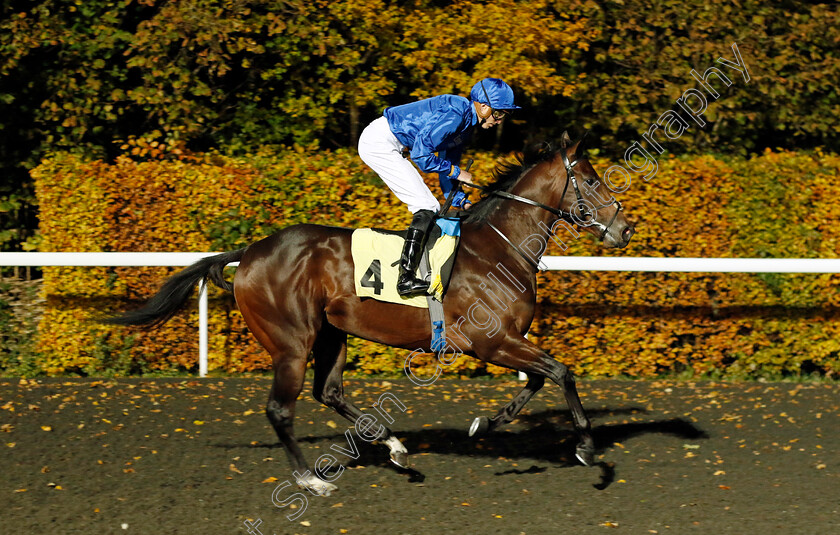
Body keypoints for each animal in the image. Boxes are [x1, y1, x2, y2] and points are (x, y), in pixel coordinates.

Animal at [110, 132, 636, 496]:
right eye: (591, 179)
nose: (625, 228)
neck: (498, 249)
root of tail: (251, 251)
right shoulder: (489, 341)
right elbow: (561, 372)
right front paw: (587, 449)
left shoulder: (505, 341)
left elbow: (539, 380)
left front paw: (485, 424)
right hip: (291, 342)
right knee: (281, 408)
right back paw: (310, 479)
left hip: (331, 333)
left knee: (329, 391)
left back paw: (395, 448)